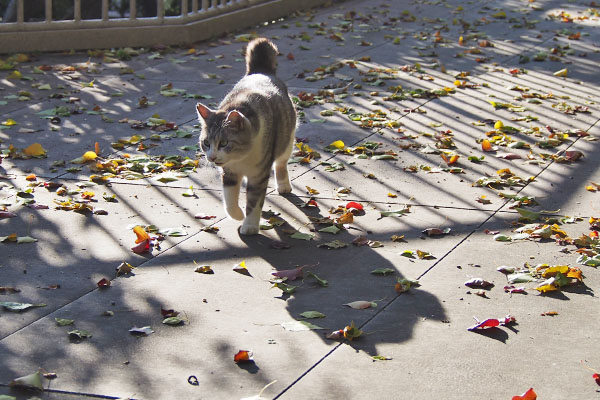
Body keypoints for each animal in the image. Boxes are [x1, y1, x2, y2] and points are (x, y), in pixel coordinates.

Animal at [196, 38, 296, 234]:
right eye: (206, 143)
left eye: (224, 143)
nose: (212, 157)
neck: (241, 158)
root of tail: (260, 71)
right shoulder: (229, 173)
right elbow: (229, 200)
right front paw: (238, 215)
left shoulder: (259, 175)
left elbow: (254, 201)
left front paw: (249, 225)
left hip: (287, 139)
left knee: (281, 163)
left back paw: (283, 185)